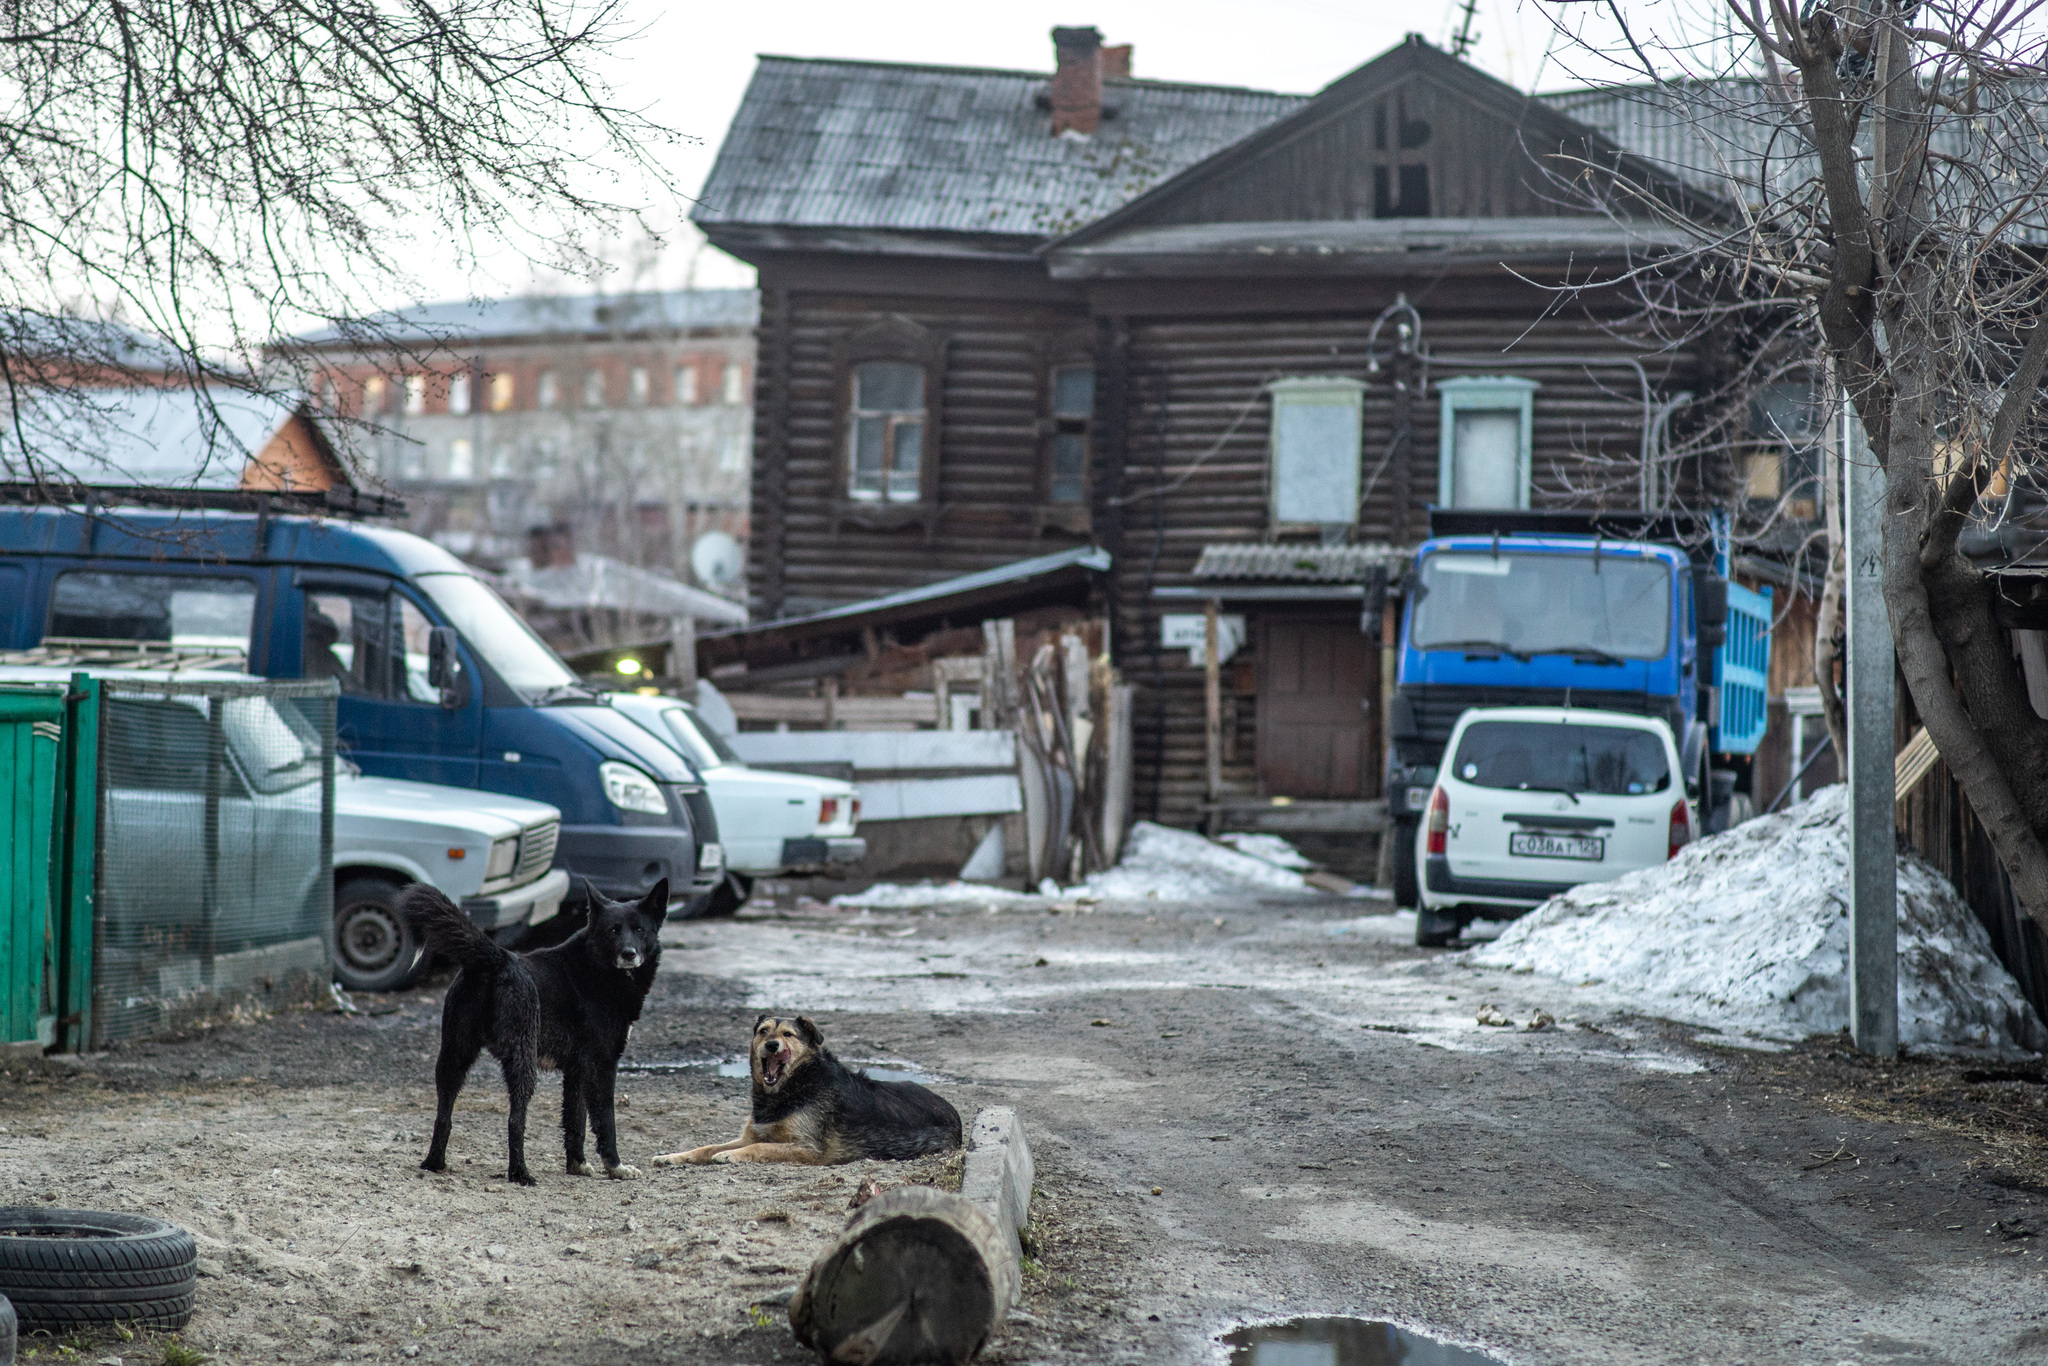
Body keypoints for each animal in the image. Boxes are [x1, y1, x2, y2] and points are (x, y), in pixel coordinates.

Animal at [393, 876, 663, 1187]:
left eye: (640, 929)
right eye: (613, 930)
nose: (629, 954)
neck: (596, 966)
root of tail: (497, 958)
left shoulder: (576, 1070)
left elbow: (575, 1120)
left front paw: (577, 1164)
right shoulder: (602, 1066)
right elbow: (605, 1121)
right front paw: (616, 1167)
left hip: (455, 1055)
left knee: (443, 1115)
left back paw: (434, 1163)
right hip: (523, 1059)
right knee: (515, 1120)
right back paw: (520, 1173)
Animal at [651, 1015, 962, 1163]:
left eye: (788, 1034)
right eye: (763, 1031)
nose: (772, 1045)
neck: (793, 1086)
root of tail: (953, 1112)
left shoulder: (808, 1149)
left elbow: (760, 1147)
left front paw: (732, 1156)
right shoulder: (750, 1134)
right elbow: (707, 1146)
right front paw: (672, 1157)